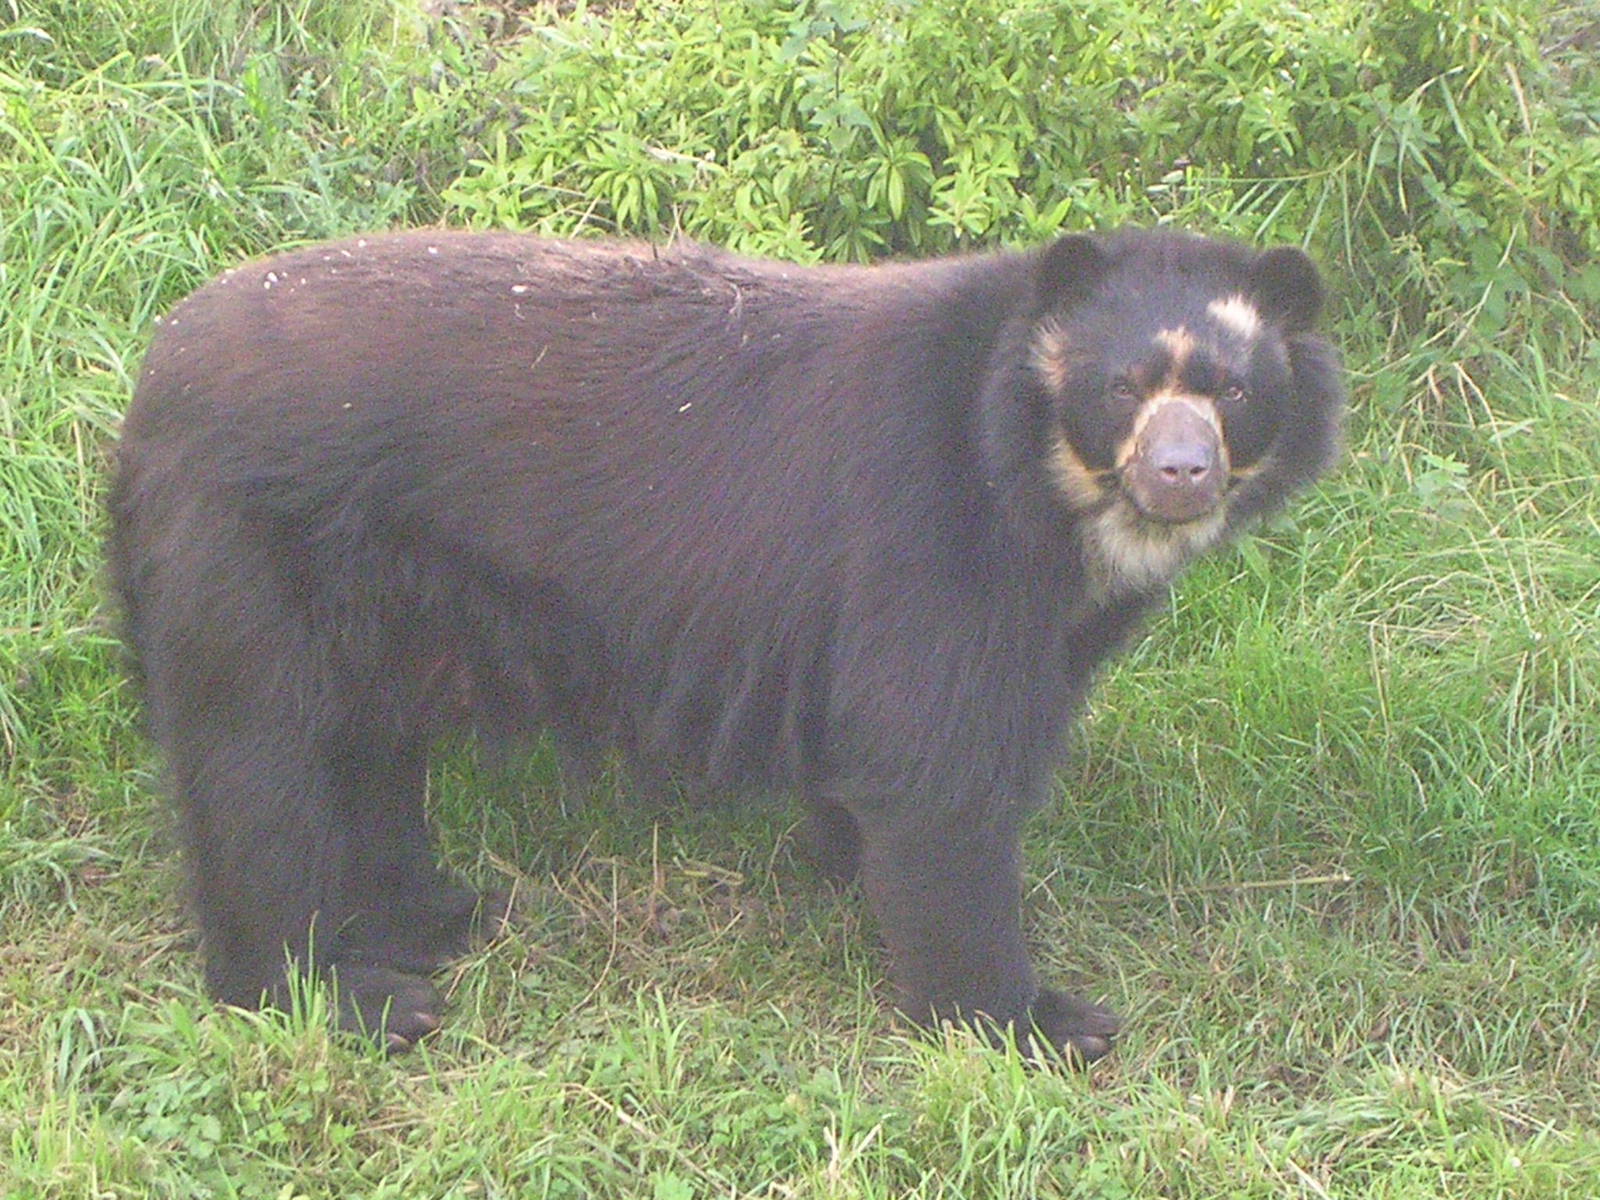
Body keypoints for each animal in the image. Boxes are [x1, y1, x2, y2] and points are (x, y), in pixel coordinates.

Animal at [108, 227, 1345, 1061]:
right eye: (1123, 385)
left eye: (1235, 391)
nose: (1180, 473)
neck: (1043, 492)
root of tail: (150, 379)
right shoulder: (930, 540)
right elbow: (935, 775)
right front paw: (1032, 1020)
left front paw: (847, 873)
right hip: (250, 555)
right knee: (261, 771)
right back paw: (352, 996)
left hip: (378, 597)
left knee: (360, 754)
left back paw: (434, 916)